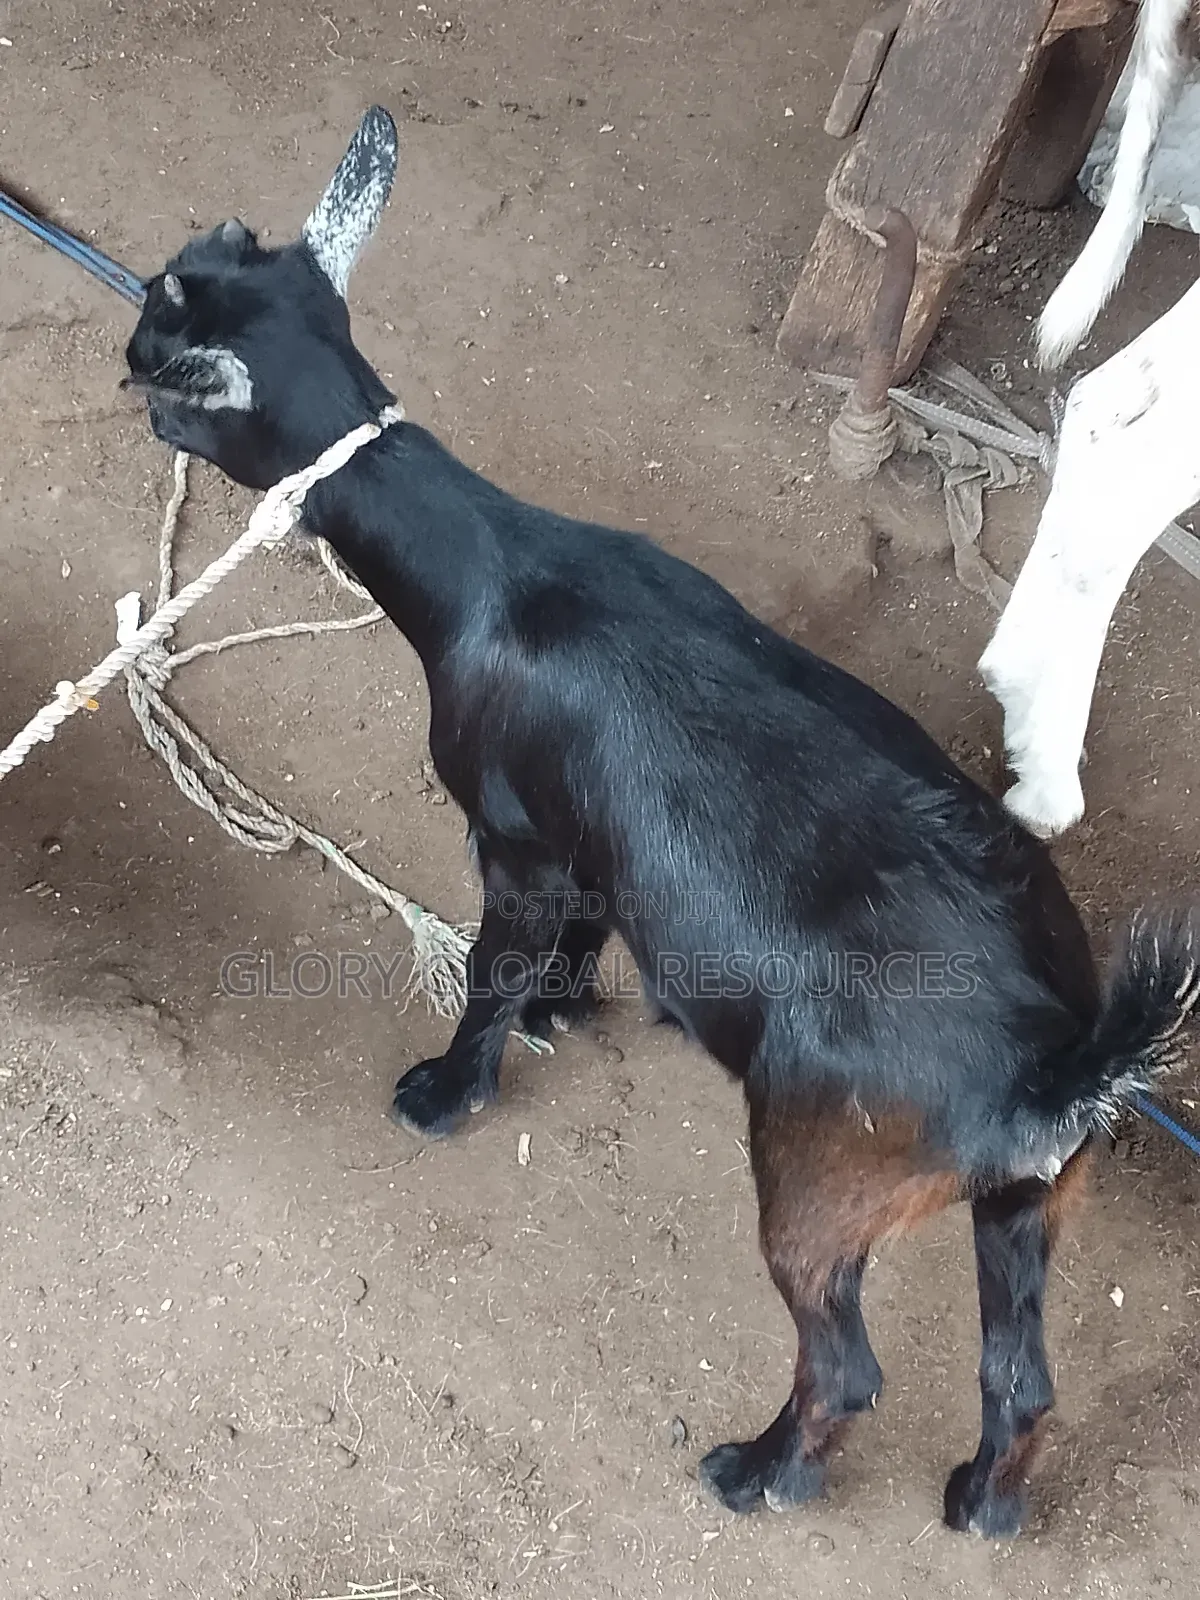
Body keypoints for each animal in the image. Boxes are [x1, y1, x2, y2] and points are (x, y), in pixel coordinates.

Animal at [122, 107, 1199, 1540]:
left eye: (165, 342)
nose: (125, 358)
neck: (489, 569)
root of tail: (1057, 1059)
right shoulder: (588, 841)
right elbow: (578, 938)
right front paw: (566, 1008)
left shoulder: (515, 836)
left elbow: (491, 968)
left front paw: (449, 1087)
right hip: (1024, 1204)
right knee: (1020, 1382)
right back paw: (981, 1503)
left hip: (819, 1174)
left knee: (846, 1369)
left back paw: (757, 1473)